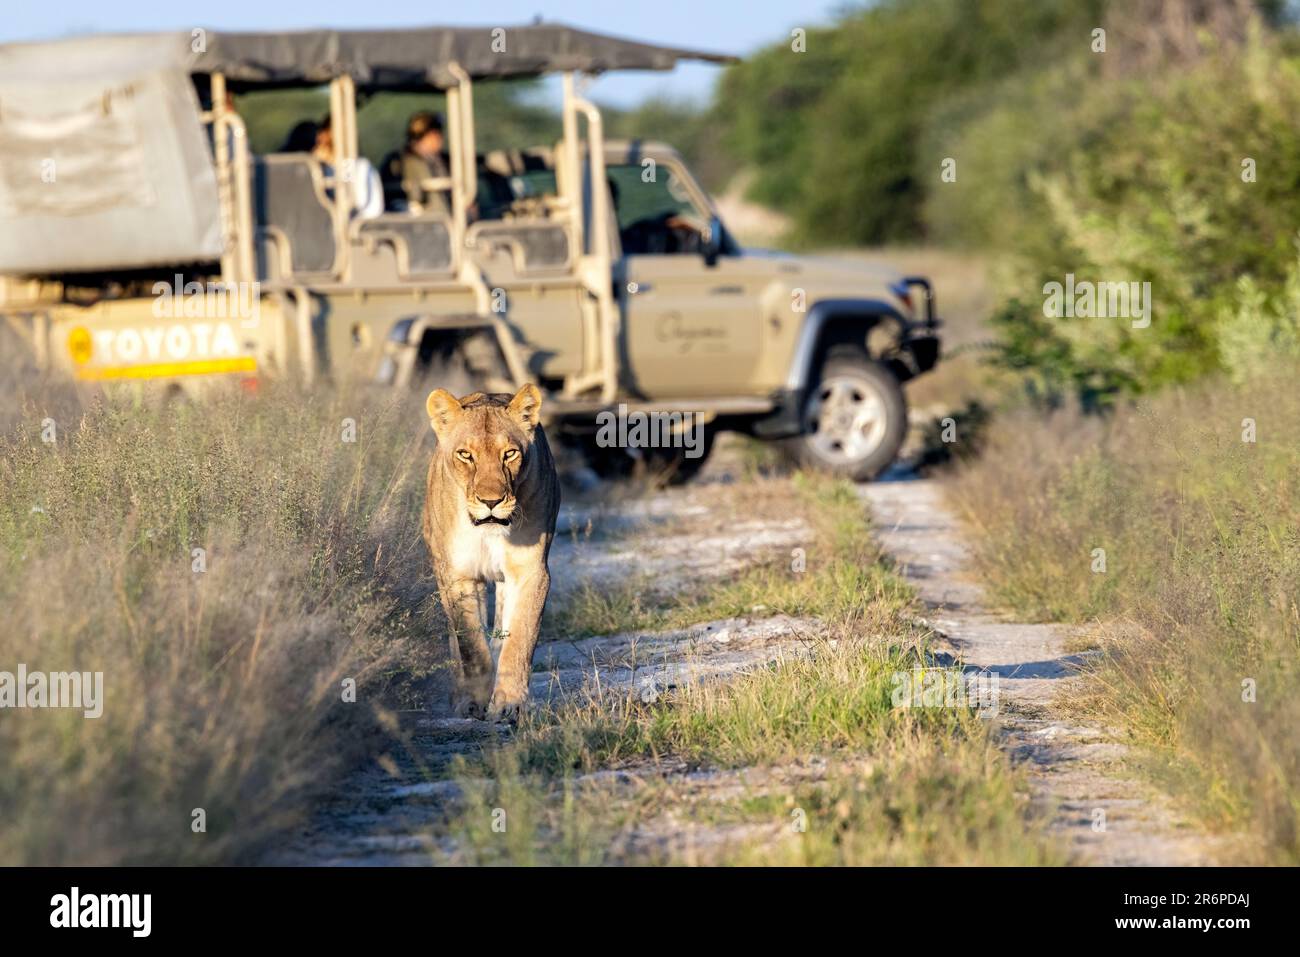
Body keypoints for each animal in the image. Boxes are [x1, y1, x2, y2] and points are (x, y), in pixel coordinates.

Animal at [422, 383, 560, 722]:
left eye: (509, 453)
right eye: (465, 455)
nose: (491, 501)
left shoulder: (530, 571)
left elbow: (519, 638)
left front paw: (510, 704)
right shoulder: (457, 576)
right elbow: (470, 645)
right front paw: (475, 701)